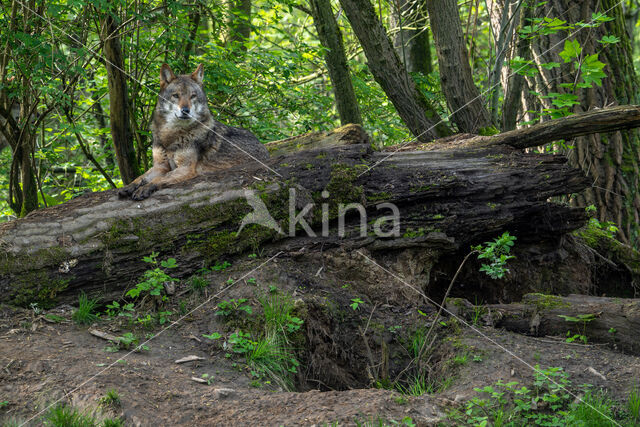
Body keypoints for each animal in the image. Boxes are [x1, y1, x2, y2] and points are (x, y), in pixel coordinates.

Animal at [119, 63, 268, 201]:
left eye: (193, 96)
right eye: (176, 96)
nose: (185, 110)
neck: (172, 135)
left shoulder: (185, 168)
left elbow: (159, 179)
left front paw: (144, 189)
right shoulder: (160, 166)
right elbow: (141, 177)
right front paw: (129, 187)